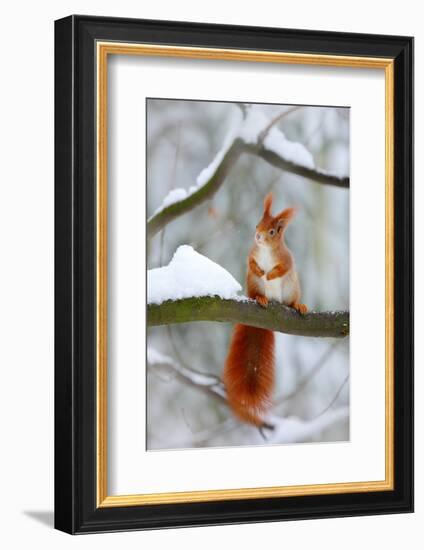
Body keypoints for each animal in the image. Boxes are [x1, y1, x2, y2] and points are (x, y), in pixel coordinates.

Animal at [224, 192, 306, 430]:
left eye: (272, 231)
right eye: (257, 224)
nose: (258, 236)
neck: (267, 251)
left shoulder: (286, 259)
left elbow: (282, 267)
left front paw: (270, 274)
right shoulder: (252, 254)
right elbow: (251, 262)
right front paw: (261, 271)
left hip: (292, 288)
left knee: (292, 300)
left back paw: (298, 305)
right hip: (254, 286)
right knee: (256, 292)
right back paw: (260, 298)